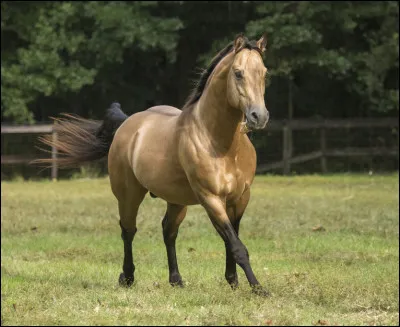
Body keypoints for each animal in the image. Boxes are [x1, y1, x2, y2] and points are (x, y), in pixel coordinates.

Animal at [36, 33, 270, 298]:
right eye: (238, 73)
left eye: (264, 73)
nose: (259, 117)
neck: (219, 142)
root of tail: (128, 123)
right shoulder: (210, 198)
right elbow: (237, 246)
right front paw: (258, 288)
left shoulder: (240, 198)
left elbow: (232, 241)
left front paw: (234, 282)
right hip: (129, 195)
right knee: (128, 230)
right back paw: (127, 277)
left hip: (176, 200)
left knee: (168, 231)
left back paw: (176, 280)